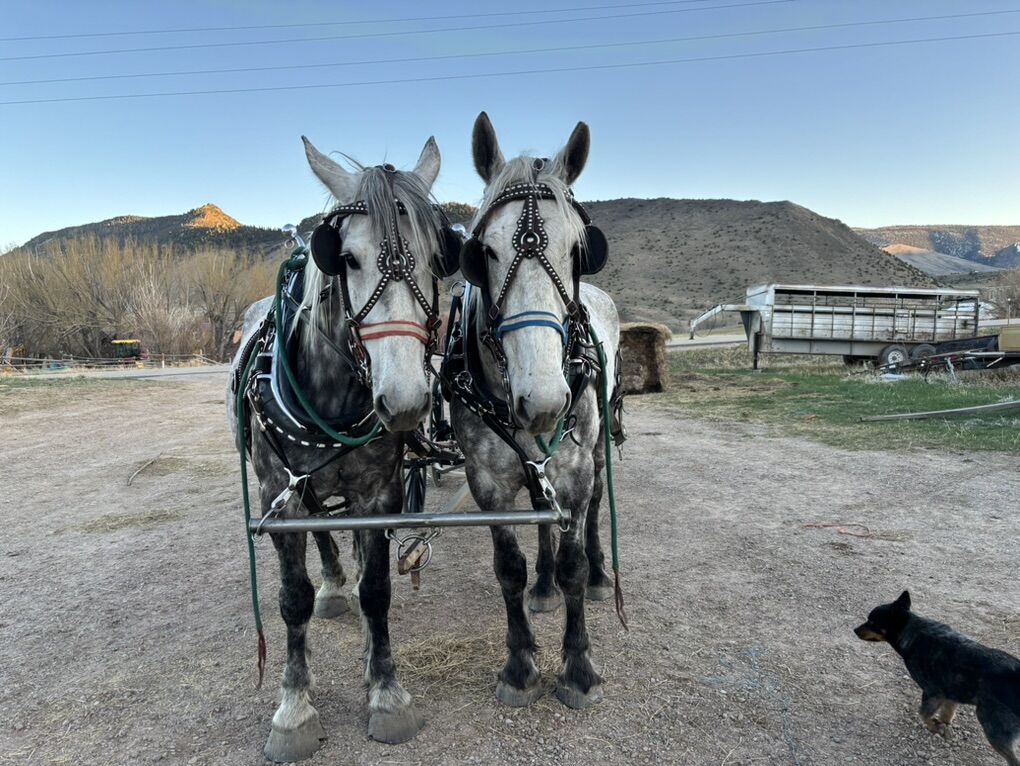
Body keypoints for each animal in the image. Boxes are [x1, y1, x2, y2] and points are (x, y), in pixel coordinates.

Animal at [227, 135, 459, 761]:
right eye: (346, 259)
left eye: (439, 257)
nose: (403, 400)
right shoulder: (277, 495)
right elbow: (292, 600)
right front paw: (293, 708)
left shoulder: (377, 492)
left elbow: (377, 589)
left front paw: (385, 691)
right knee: (321, 537)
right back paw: (333, 585)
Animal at [446, 112, 623, 710]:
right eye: (483, 252)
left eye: (577, 250)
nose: (543, 401)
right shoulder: (488, 481)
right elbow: (509, 569)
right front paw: (520, 664)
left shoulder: (573, 468)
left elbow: (572, 560)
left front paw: (580, 667)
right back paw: (543, 587)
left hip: (592, 450)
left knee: (590, 513)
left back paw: (599, 575)